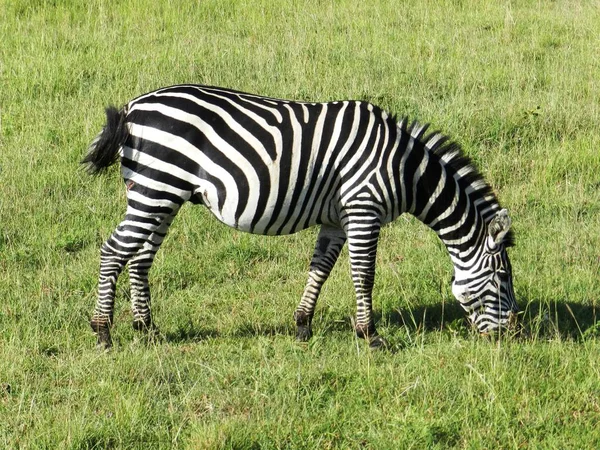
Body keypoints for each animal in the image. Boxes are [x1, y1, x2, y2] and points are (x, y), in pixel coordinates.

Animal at [82, 84, 516, 350]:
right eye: (502, 278)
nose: (511, 335)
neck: (403, 168)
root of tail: (133, 108)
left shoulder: (337, 219)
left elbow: (320, 268)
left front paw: (303, 325)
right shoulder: (363, 208)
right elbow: (364, 274)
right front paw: (370, 336)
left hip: (160, 194)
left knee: (140, 257)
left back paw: (146, 329)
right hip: (155, 189)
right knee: (112, 252)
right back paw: (103, 332)